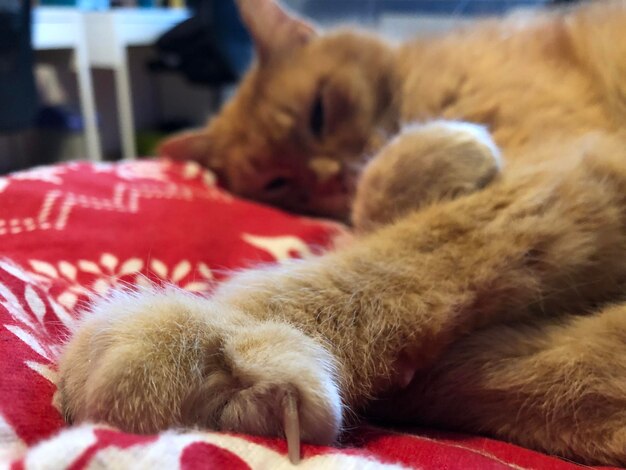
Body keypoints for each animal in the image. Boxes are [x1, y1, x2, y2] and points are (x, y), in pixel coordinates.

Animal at [57, 1, 624, 466]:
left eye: (320, 111)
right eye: (278, 182)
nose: (330, 176)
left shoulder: (579, 162)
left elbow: (412, 251)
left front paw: (222, 336)